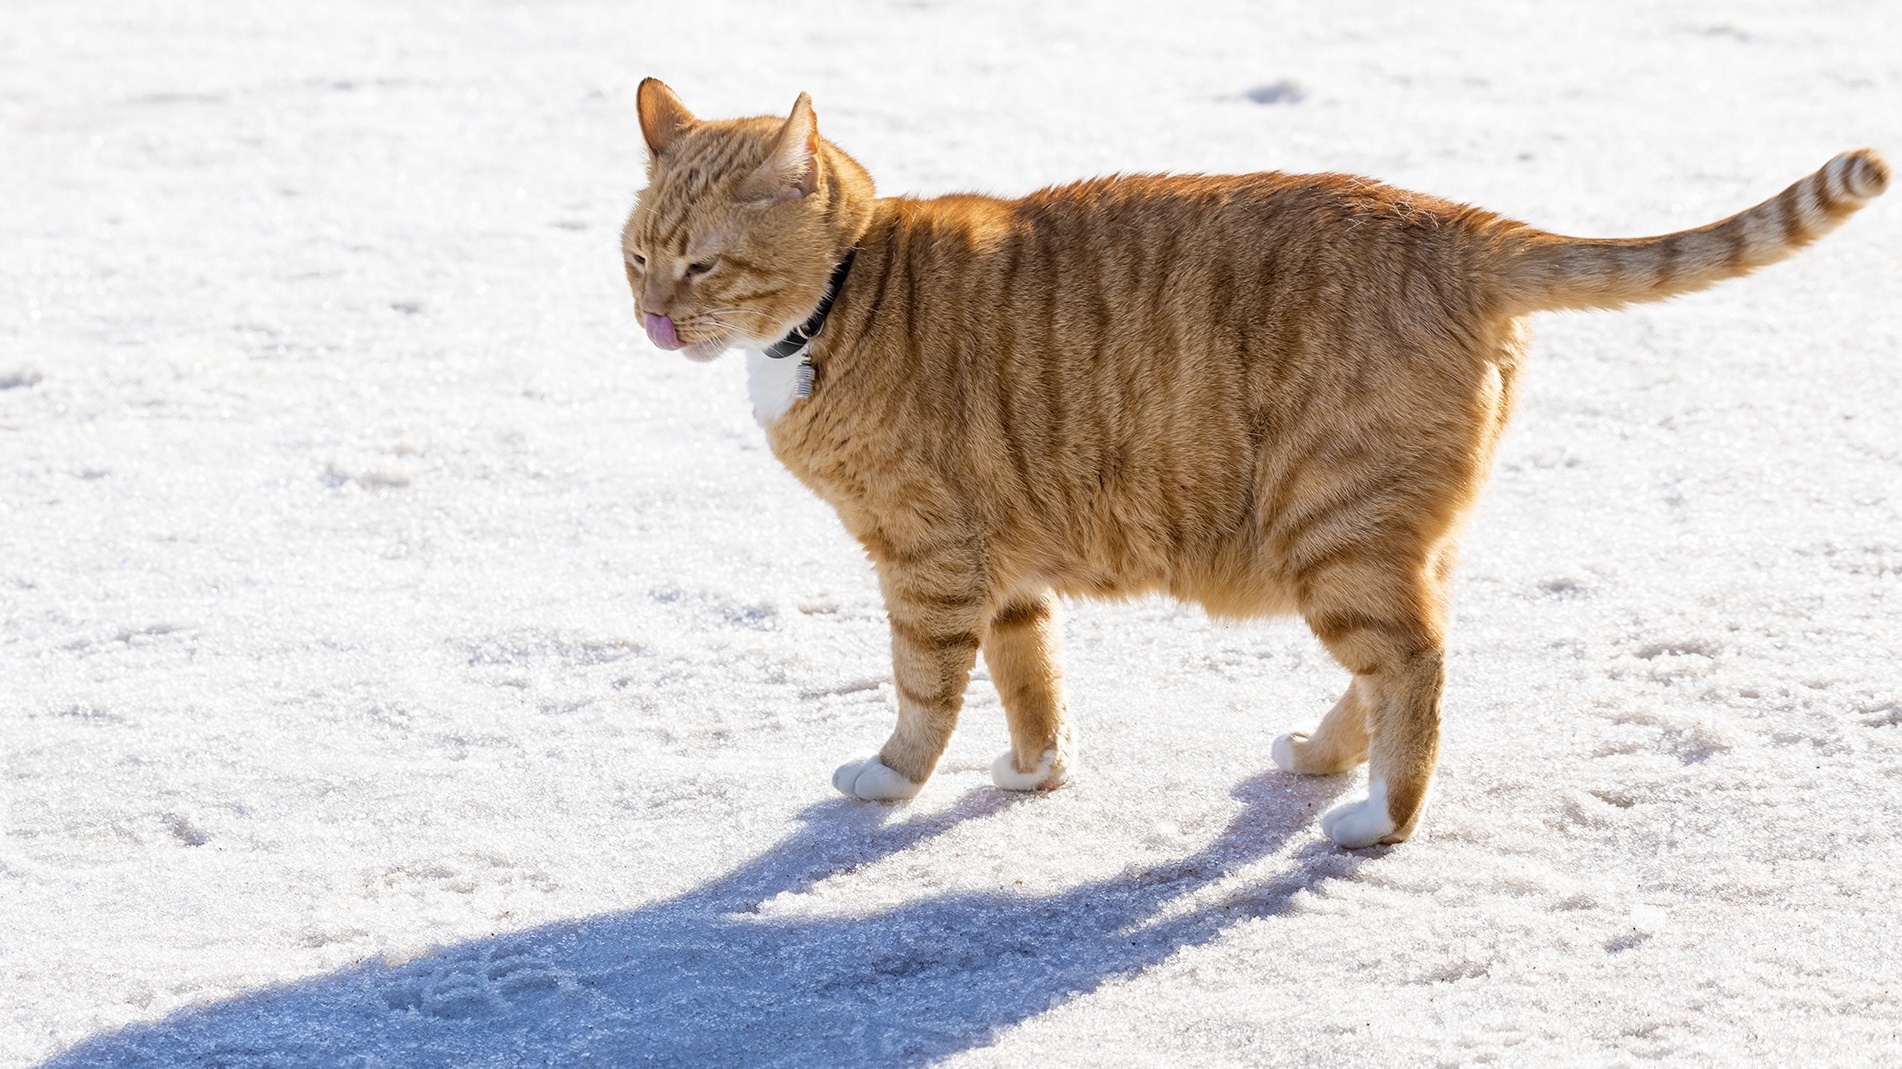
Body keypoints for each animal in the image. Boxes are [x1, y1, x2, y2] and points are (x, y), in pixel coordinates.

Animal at [620, 75, 1886, 844]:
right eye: (636, 255)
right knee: (1396, 658)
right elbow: (1031, 677)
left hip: (1330, 530)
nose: (652, 322)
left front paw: (890, 779)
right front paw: (1036, 770)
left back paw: (1379, 818)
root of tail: (1460, 226)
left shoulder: (928, 563)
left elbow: (924, 691)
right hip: (1392, 534)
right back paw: (1326, 758)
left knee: (1415, 666)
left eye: (702, 265)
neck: (842, 301)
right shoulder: (1004, 565)